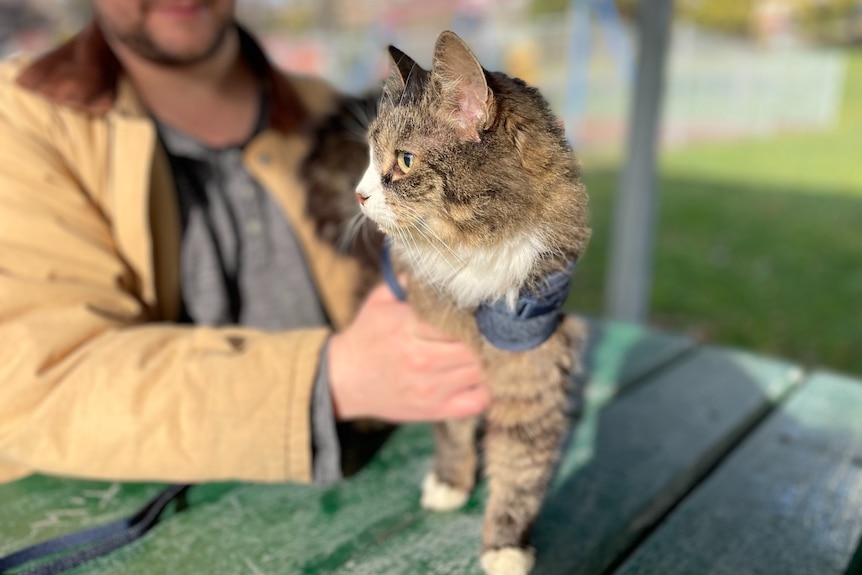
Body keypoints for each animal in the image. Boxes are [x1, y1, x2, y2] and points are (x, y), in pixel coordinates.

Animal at [354, 32, 592, 575]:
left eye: (404, 160)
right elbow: (453, 427)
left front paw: (504, 546)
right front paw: (450, 482)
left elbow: (520, 470)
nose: (358, 194)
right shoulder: (439, 345)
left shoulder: (531, 355)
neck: (476, 254)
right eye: (370, 155)